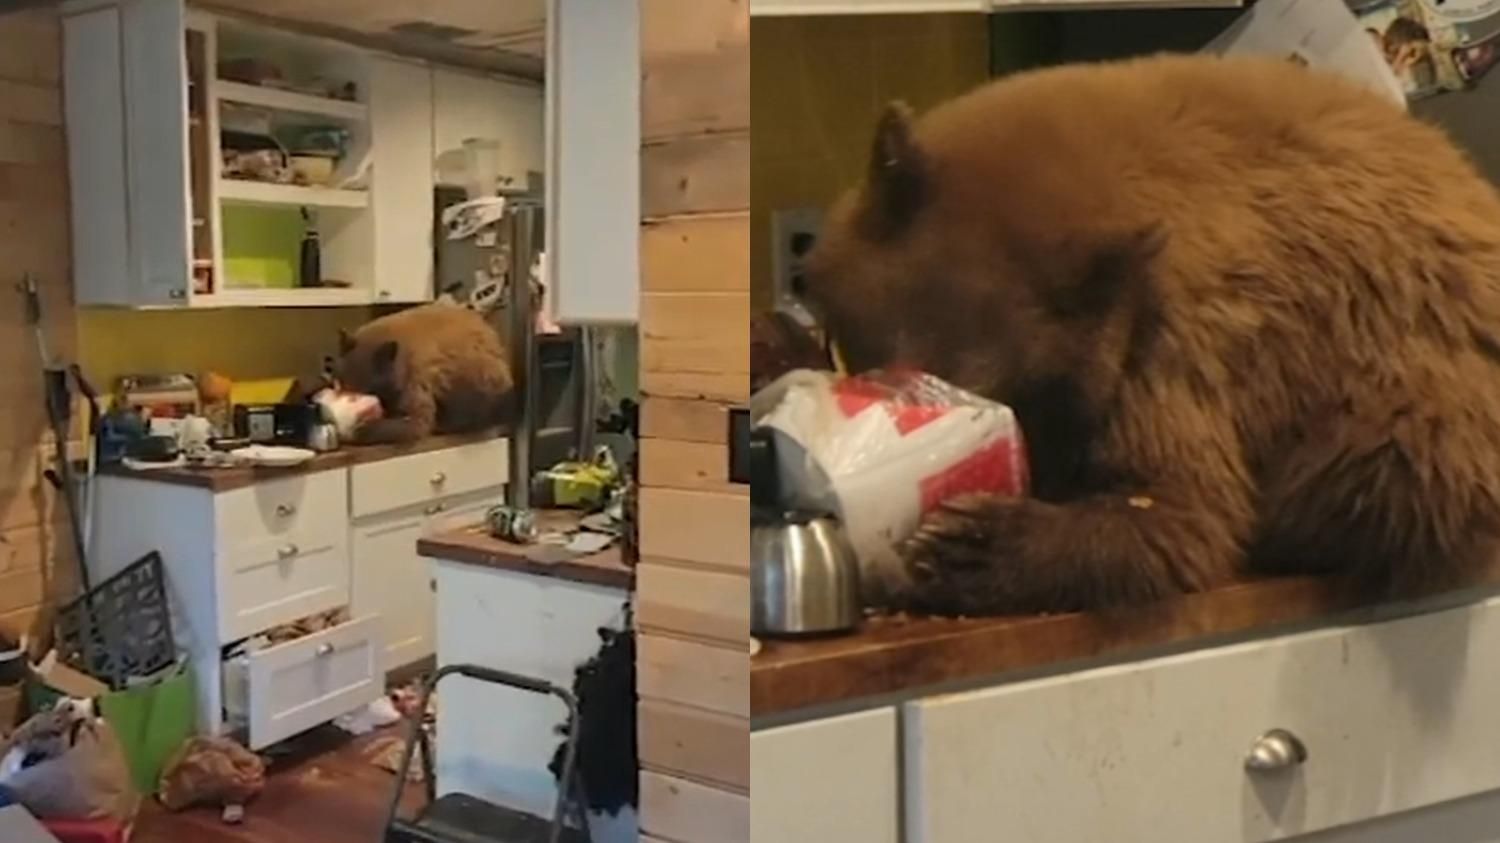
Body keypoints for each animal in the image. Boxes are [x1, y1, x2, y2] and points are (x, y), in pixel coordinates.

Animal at [335, 302, 514, 444]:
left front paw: (356, 430)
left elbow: (417, 423)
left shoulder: (415, 381)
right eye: (342, 383)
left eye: (369, 389)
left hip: (475, 376)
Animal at [799, 53, 1500, 617]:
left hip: (1422, 391)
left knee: (1392, 467)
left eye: (989, 389)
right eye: (868, 354)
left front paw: (970, 543)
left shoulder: (1168, 342)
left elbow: (1183, 513)